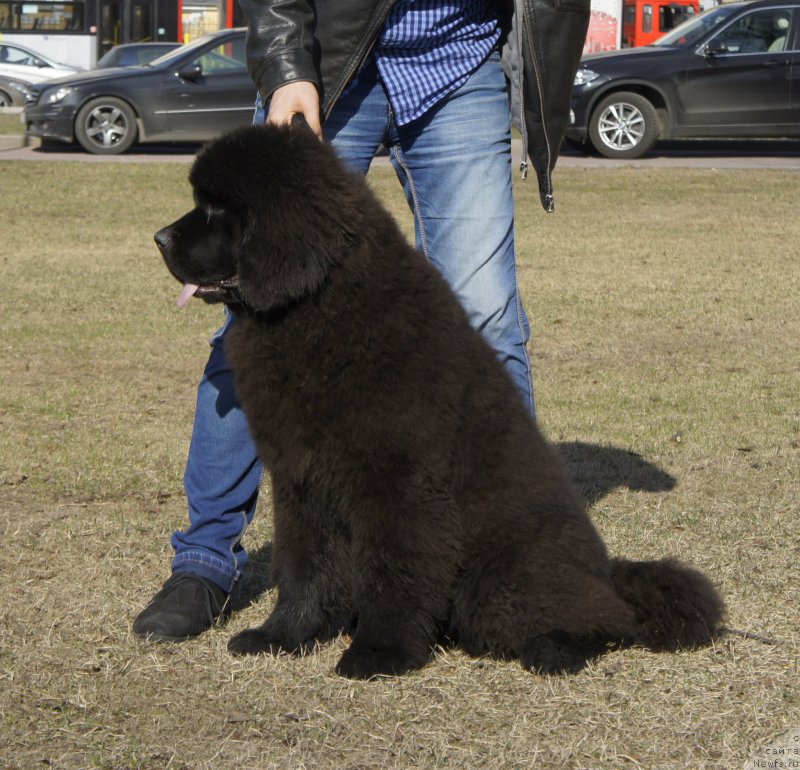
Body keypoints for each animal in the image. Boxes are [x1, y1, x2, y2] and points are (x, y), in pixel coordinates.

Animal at [156, 123, 724, 676]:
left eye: (217, 209)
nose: (158, 238)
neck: (318, 306)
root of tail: (607, 571)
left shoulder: (400, 486)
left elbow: (393, 571)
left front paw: (379, 652)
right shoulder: (301, 482)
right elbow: (303, 568)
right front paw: (282, 636)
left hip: (499, 577)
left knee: (605, 619)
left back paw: (554, 650)